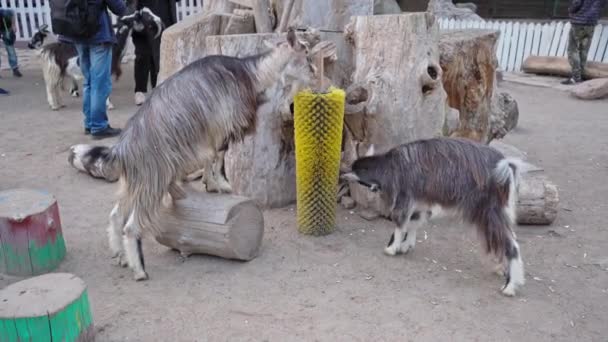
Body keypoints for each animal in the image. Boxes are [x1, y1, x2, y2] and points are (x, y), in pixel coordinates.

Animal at [340, 137, 528, 296]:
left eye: (355, 169)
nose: (343, 174)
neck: (391, 165)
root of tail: (507, 167)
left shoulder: (405, 195)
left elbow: (401, 222)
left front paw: (391, 248)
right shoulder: (422, 201)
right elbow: (414, 221)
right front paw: (406, 246)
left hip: (488, 211)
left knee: (512, 244)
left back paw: (510, 286)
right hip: (501, 210)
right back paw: (502, 269)